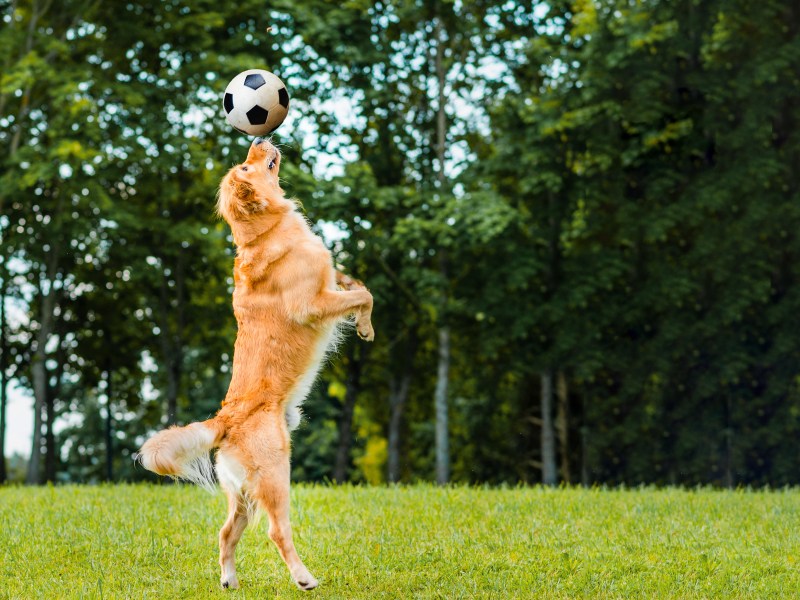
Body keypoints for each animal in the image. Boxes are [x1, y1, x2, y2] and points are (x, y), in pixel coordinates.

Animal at [136, 137, 374, 592]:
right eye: (246, 168)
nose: (259, 139)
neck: (265, 230)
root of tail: (225, 420)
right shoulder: (312, 303)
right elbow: (365, 296)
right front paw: (366, 326)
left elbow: (354, 283)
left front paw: (358, 307)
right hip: (277, 475)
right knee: (276, 531)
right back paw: (304, 578)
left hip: (243, 492)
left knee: (226, 531)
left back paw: (229, 580)